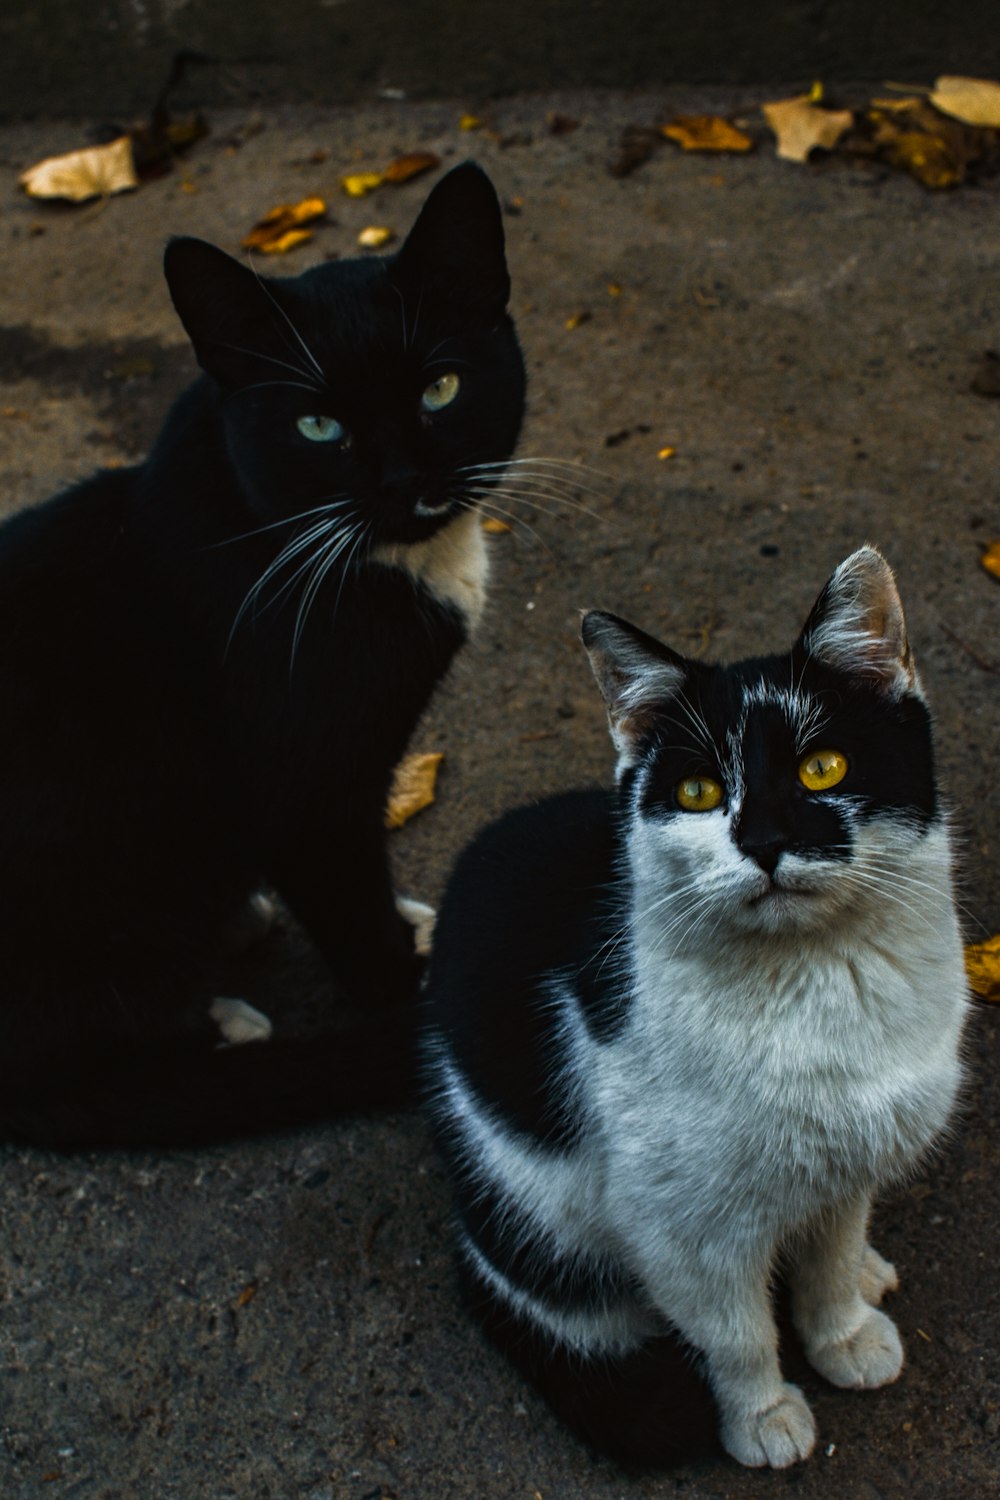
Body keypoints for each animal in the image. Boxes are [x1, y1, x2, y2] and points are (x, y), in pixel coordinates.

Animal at [0, 164, 527, 1146]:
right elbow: (349, 906)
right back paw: (221, 1027)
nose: (406, 482)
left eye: (439, 389)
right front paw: (403, 983)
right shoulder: (305, 790)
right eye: (319, 427)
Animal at [422, 549, 971, 1464]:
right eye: (697, 791)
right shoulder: (682, 1228)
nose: (764, 840)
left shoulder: (849, 1159)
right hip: (528, 1206)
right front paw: (762, 1416)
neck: (817, 984)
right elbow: (737, 1334)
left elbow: (827, 1263)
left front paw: (843, 1330)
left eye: (823, 768)